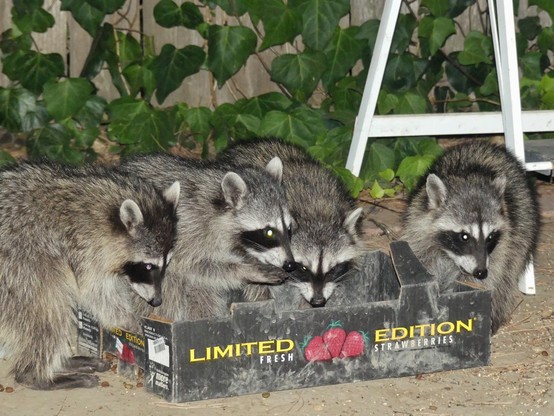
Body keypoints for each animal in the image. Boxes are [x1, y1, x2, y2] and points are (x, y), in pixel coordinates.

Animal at [0, 161, 179, 388]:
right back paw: (37, 376)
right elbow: (97, 294)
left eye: (166, 264)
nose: (156, 301)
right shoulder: (82, 246)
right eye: (148, 267)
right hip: (19, 266)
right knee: (49, 311)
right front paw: (131, 323)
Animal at [118, 154, 296, 320]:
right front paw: (245, 270)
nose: (290, 265)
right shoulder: (183, 231)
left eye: (289, 228)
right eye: (269, 232)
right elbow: (193, 267)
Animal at [402, 143, 540, 334]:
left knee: (507, 272)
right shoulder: (419, 228)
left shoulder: (502, 245)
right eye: (464, 236)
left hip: (523, 225)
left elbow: (487, 279)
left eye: (490, 237)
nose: (481, 272)